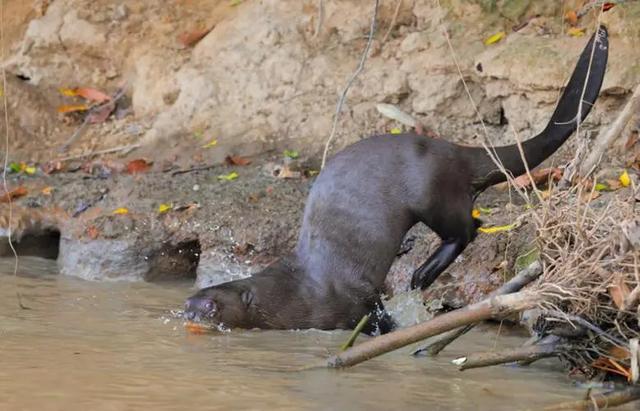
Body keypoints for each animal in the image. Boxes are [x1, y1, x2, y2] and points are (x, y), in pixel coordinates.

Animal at [185, 26, 608, 334]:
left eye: (210, 304)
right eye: (192, 298)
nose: (188, 310)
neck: (300, 291)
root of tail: (451, 150)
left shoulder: (354, 296)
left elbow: (374, 313)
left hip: (432, 193)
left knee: (469, 227)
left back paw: (423, 273)